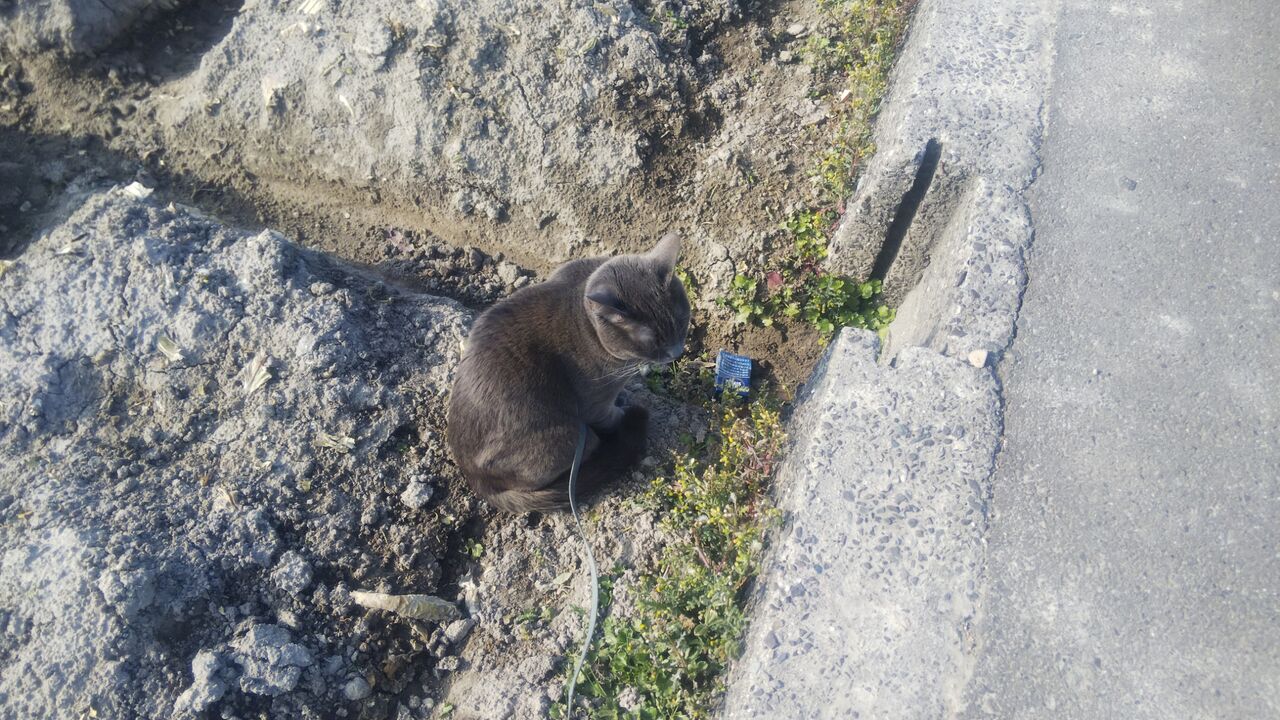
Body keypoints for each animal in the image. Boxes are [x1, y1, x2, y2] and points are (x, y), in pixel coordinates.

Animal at [446, 233, 690, 513]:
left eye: (682, 322)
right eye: (654, 342)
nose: (676, 352)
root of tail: (477, 481)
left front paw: (624, 397)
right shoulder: (594, 401)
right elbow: (610, 416)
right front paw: (626, 411)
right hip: (568, 436)